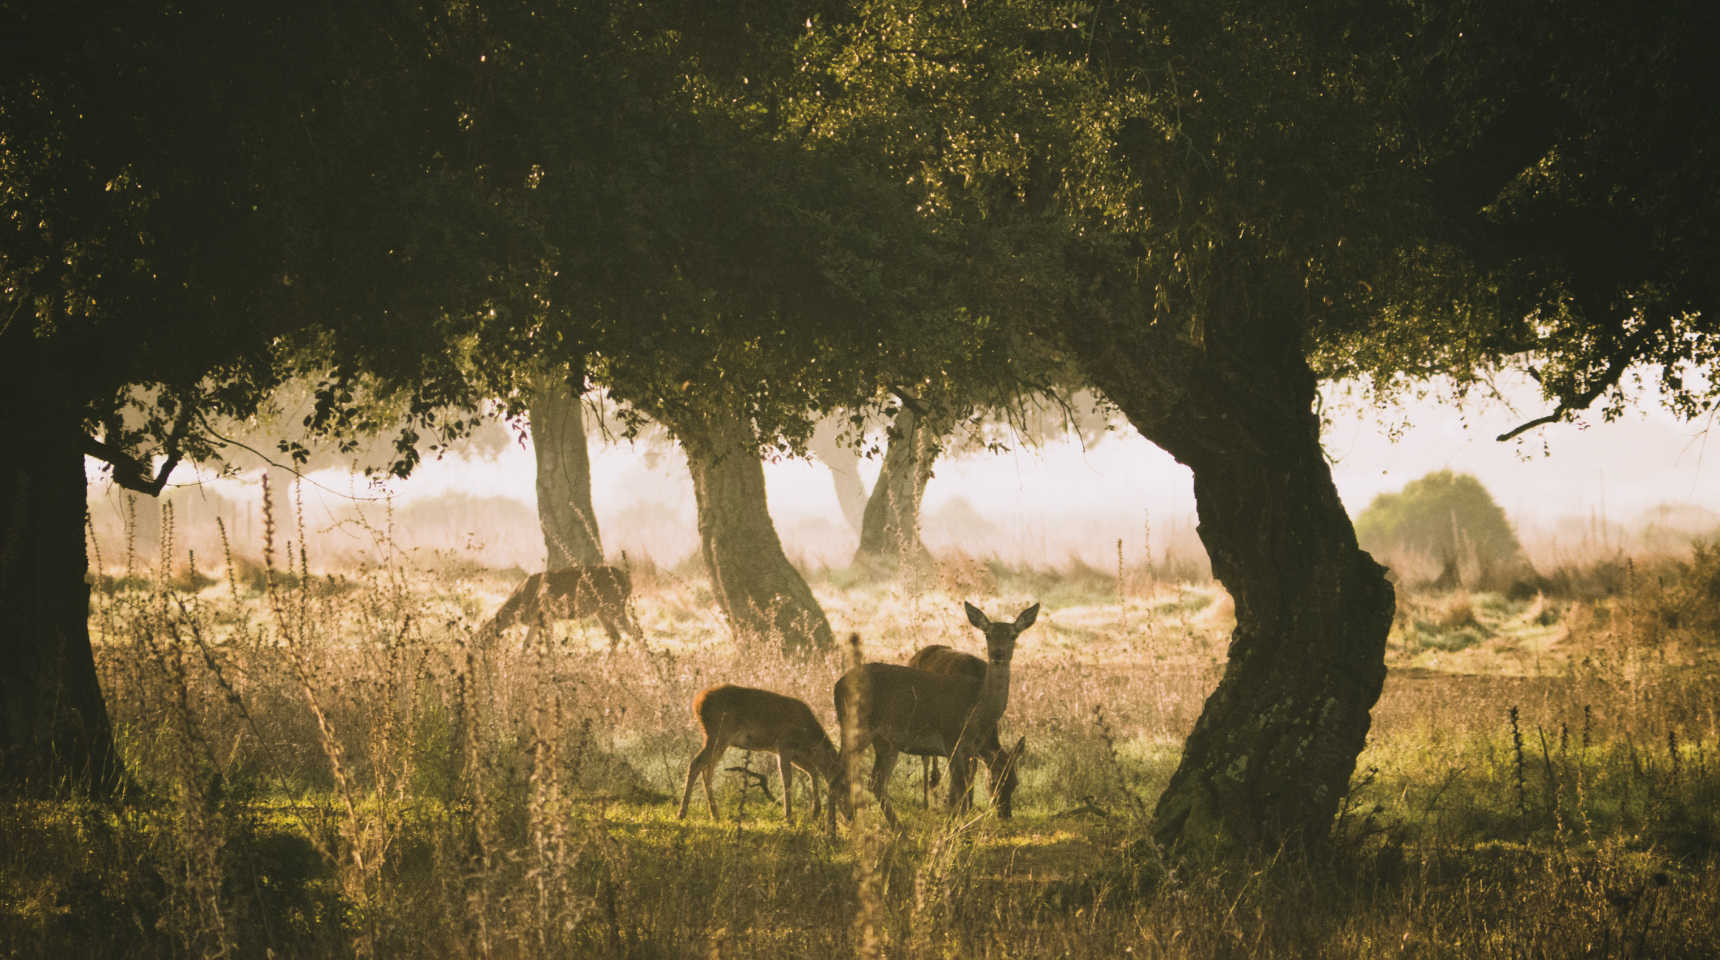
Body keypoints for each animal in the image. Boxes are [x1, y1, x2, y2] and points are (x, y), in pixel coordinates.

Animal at [478, 567, 646, 650]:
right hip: (601, 610)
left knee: (636, 633)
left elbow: (548, 644)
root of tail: (628, 582)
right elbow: (525, 644)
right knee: (615, 636)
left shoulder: (547, 616)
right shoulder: (536, 622)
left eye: (479, 644)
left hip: (614, 605)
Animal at [677, 684, 839, 829]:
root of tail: (697, 702)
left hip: (719, 740)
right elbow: (787, 780)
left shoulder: (797, 756)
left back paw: (715, 815)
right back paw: (682, 813)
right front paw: (789, 819)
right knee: (696, 764)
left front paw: (815, 812)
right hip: (718, 734)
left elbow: (812, 771)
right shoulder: (783, 745)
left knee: (707, 768)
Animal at [908, 646, 1025, 818]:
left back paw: (934, 782)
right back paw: (926, 800)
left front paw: (969, 805)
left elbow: (972, 769)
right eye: (993, 783)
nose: (1005, 814)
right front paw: (959, 806)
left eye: (1015, 782)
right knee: (925, 757)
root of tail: (916, 655)